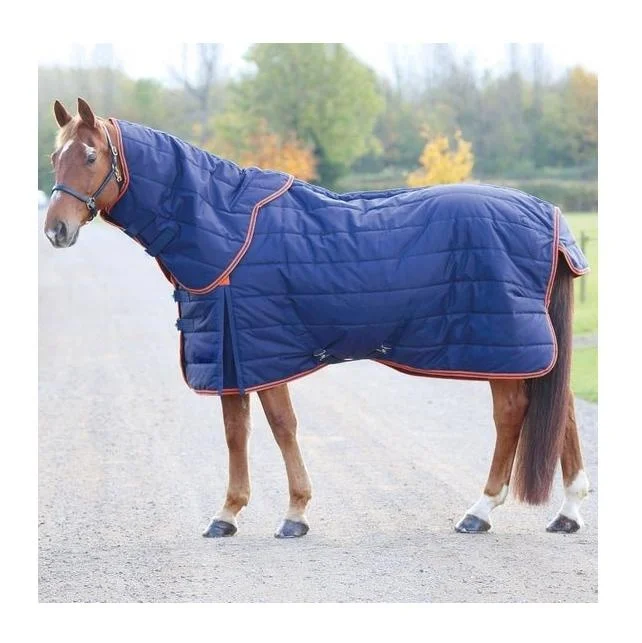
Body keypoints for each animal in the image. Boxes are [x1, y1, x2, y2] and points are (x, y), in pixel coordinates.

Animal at [44, 98, 590, 539]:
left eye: (90, 156)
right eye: (54, 156)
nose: (56, 230)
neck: (224, 229)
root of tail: (548, 214)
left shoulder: (264, 350)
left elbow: (281, 425)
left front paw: (295, 513)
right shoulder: (230, 351)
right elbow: (235, 430)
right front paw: (228, 514)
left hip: (503, 347)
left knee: (512, 414)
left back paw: (481, 509)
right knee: (560, 409)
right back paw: (568, 512)